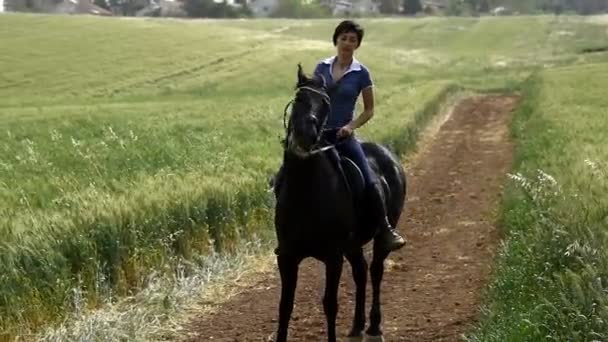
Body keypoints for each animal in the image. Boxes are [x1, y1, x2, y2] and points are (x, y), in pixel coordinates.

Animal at [272, 65, 408, 342]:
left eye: (325, 103)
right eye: (299, 98)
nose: (304, 134)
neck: (305, 191)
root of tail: (389, 155)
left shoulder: (332, 257)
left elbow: (330, 304)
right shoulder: (288, 256)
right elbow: (285, 306)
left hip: (379, 235)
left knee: (376, 271)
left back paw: (374, 326)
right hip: (352, 245)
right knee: (361, 272)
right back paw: (357, 326)